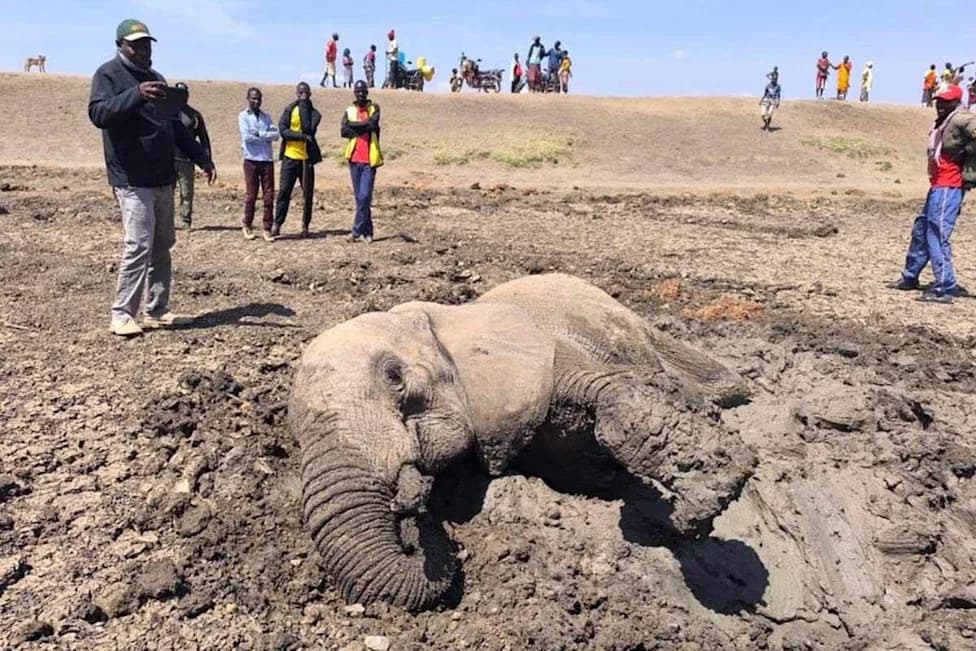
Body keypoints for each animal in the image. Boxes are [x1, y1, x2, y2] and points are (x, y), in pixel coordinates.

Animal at [289, 273, 757, 611]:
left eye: (394, 377)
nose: (410, 522)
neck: (445, 321)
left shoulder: (542, 359)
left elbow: (618, 402)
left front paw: (692, 517)